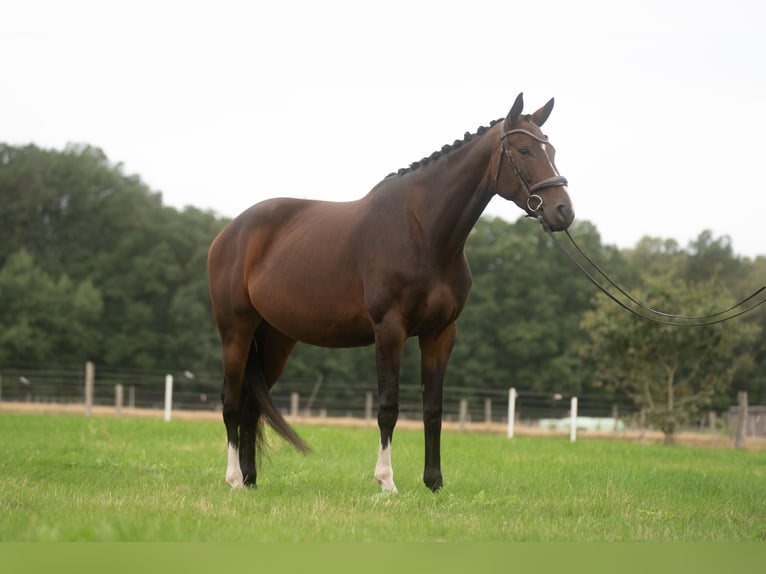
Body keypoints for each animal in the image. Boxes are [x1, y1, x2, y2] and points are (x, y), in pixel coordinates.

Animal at [207, 93, 574, 492]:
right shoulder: (389, 330)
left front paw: (434, 483)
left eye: (552, 149)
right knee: (231, 401)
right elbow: (388, 406)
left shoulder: (440, 334)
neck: (424, 232)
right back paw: (234, 479)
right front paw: (386, 482)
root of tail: (230, 232)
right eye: (525, 150)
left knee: (250, 405)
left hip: (275, 340)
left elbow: (433, 408)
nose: (563, 212)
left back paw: (250, 480)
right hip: (236, 331)